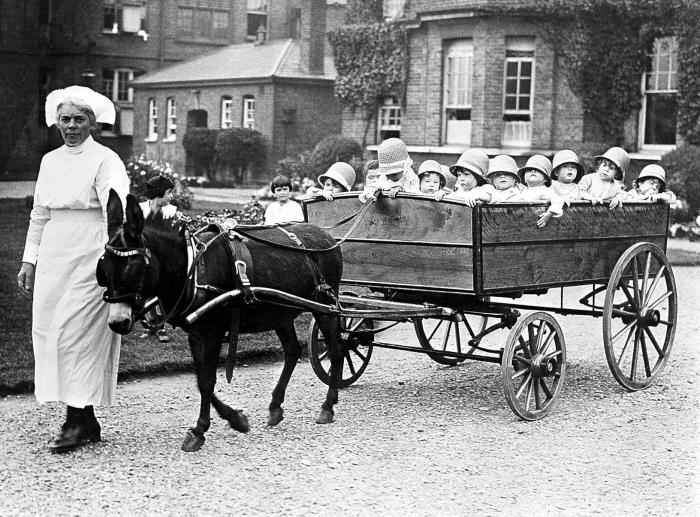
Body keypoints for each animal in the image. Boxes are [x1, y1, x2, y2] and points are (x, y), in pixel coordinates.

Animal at [100, 191, 346, 450]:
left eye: (133, 268)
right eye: (103, 267)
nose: (117, 322)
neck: (194, 269)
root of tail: (326, 235)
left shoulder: (213, 332)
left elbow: (207, 380)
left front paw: (201, 429)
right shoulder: (196, 332)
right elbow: (200, 379)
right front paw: (234, 418)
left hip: (325, 305)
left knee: (336, 350)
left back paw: (328, 405)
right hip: (281, 312)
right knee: (292, 351)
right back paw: (276, 406)